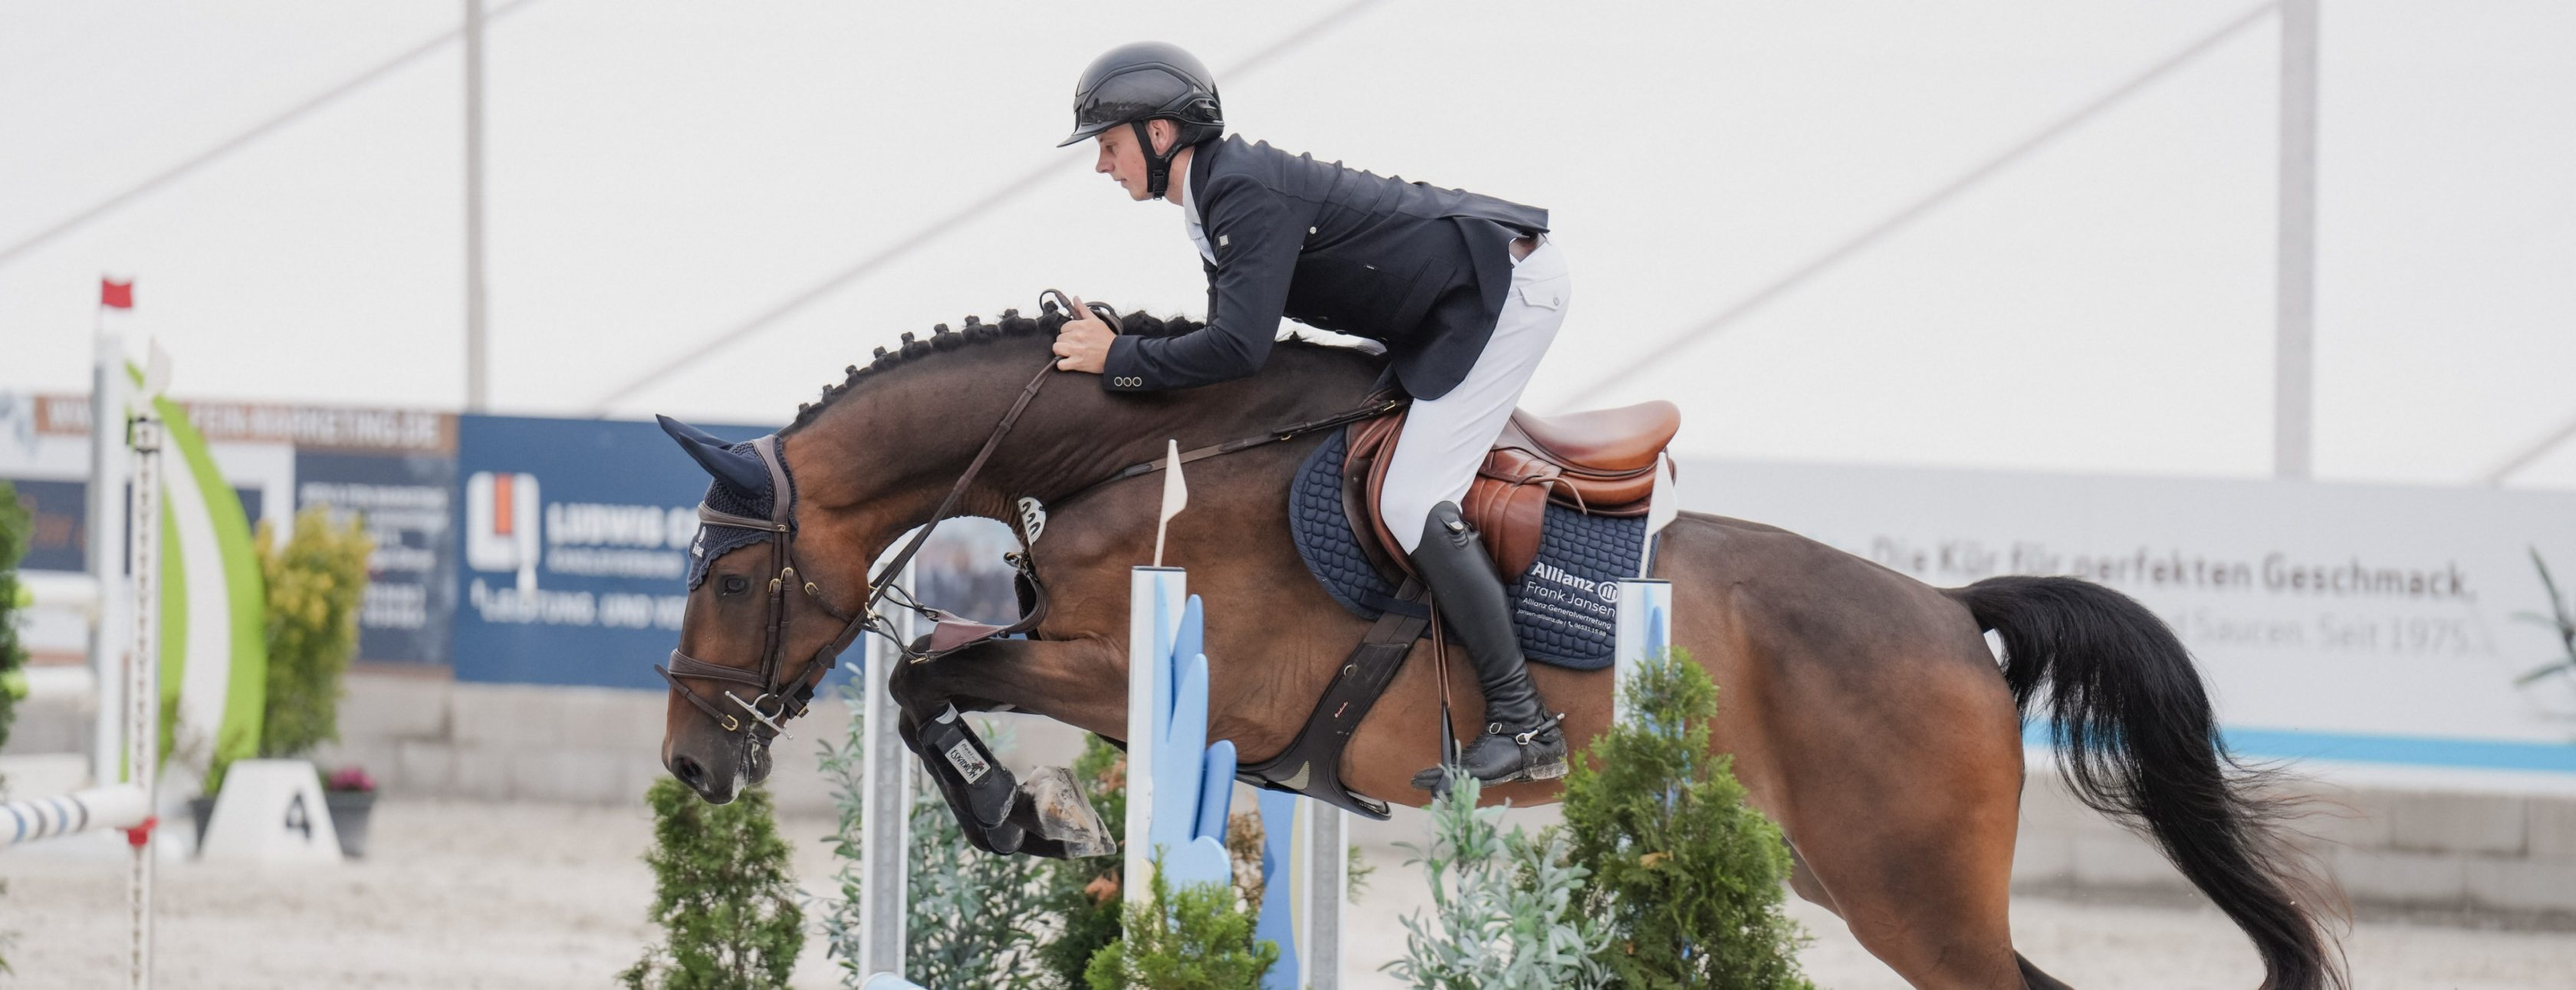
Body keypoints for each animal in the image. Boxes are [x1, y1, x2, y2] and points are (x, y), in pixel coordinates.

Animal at [654, 309, 2349, 990]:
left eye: (729, 578)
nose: (688, 766)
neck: (1134, 445)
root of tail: (1949, 613)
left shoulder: (1131, 662)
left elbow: (935, 670)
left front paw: (1027, 812)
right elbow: (947, 668)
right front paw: (1051, 818)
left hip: (1905, 889)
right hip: (1844, 875)